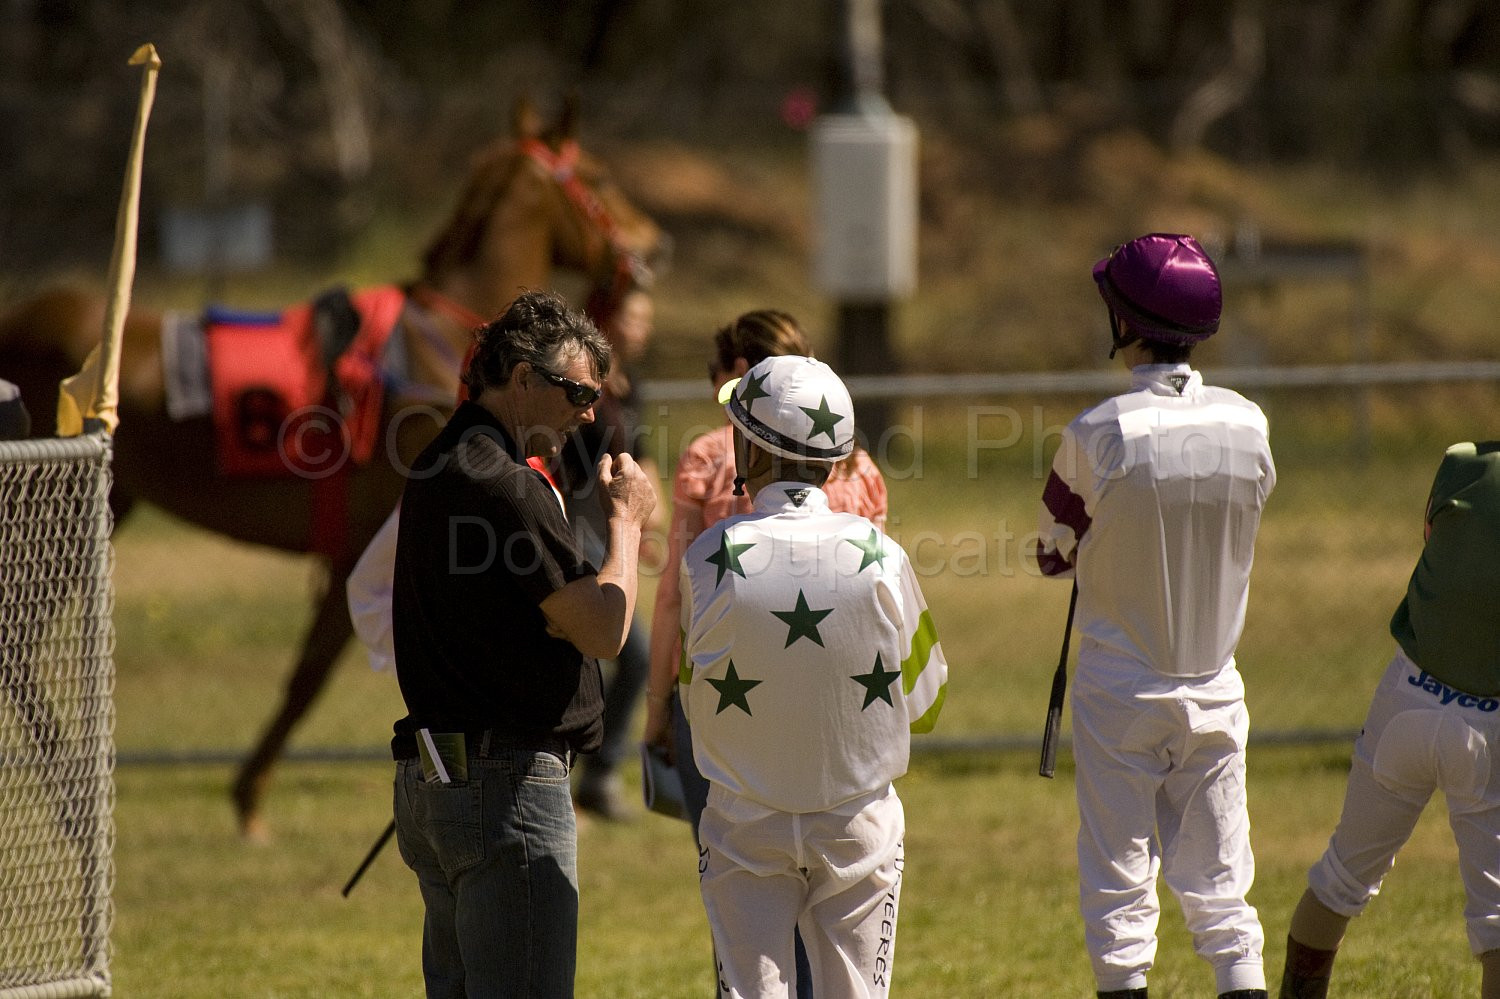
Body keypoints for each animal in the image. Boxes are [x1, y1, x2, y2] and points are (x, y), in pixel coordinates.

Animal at [0, 99, 664, 840]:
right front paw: (250, 797)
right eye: (597, 177)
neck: (432, 350)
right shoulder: (362, 545)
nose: (653, 242)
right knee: (18, 644)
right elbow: (309, 675)